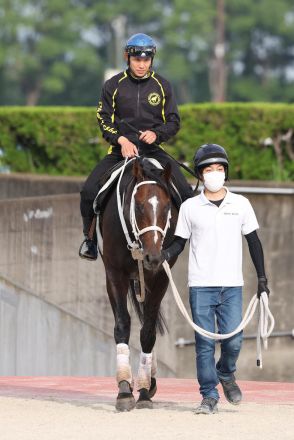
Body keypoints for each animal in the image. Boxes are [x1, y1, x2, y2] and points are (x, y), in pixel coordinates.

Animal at [97, 156, 178, 410]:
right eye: (139, 206)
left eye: (167, 207)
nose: (153, 257)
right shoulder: (115, 274)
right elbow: (123, 325)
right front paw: (124, 390)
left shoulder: (160, 277)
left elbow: (148, 332)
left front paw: (143, 389)